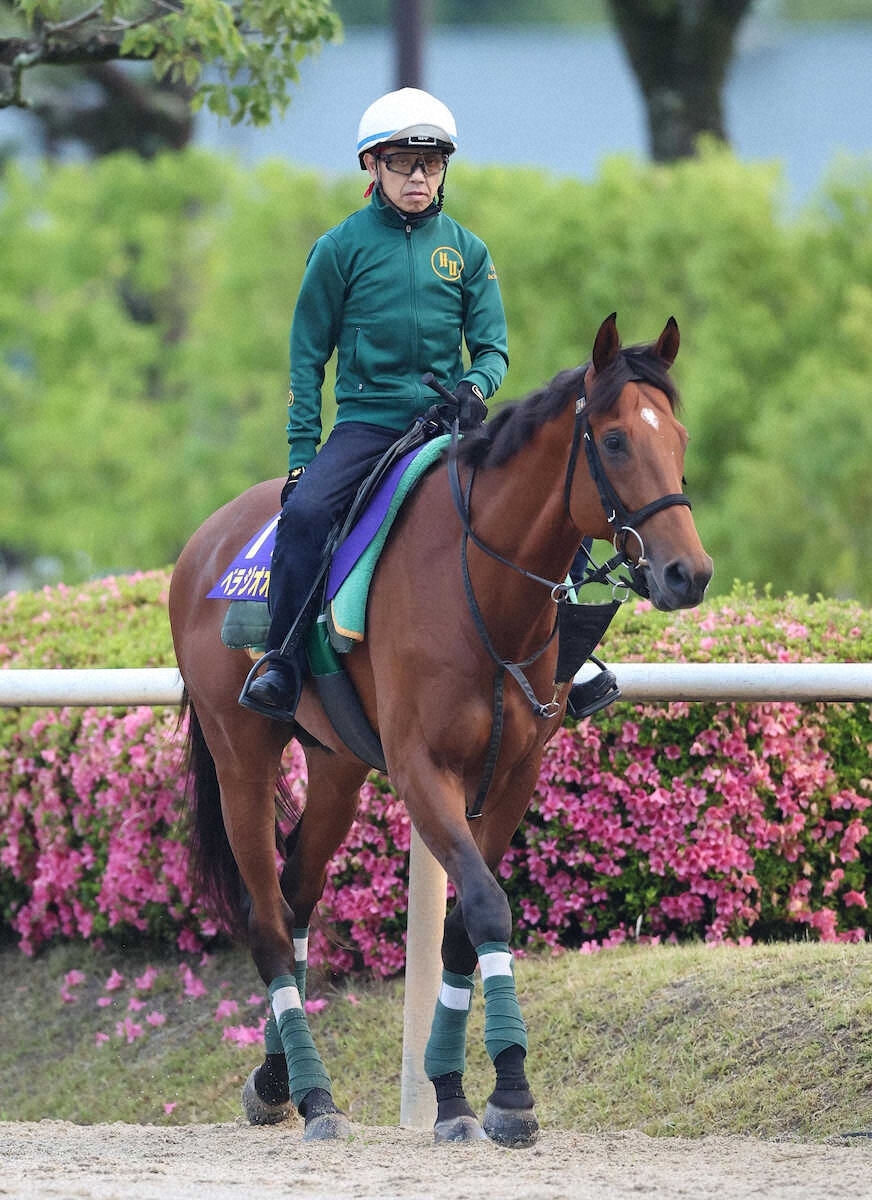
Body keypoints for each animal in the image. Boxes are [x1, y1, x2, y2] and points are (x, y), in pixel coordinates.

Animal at [168, 313, 713, 1146]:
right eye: (617, 440)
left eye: (678, 436)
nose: (689, 573)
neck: (482, 589)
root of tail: (204, 544)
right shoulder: (424, 772)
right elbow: (486, 905)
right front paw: (509, 1089)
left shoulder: (515, 774)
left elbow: (463, 926)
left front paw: (459, 1092)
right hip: (242, 760)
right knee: (267, 921)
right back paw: (316, 1097)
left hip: (336, 768)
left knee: (297, 898)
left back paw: (277, 1080)